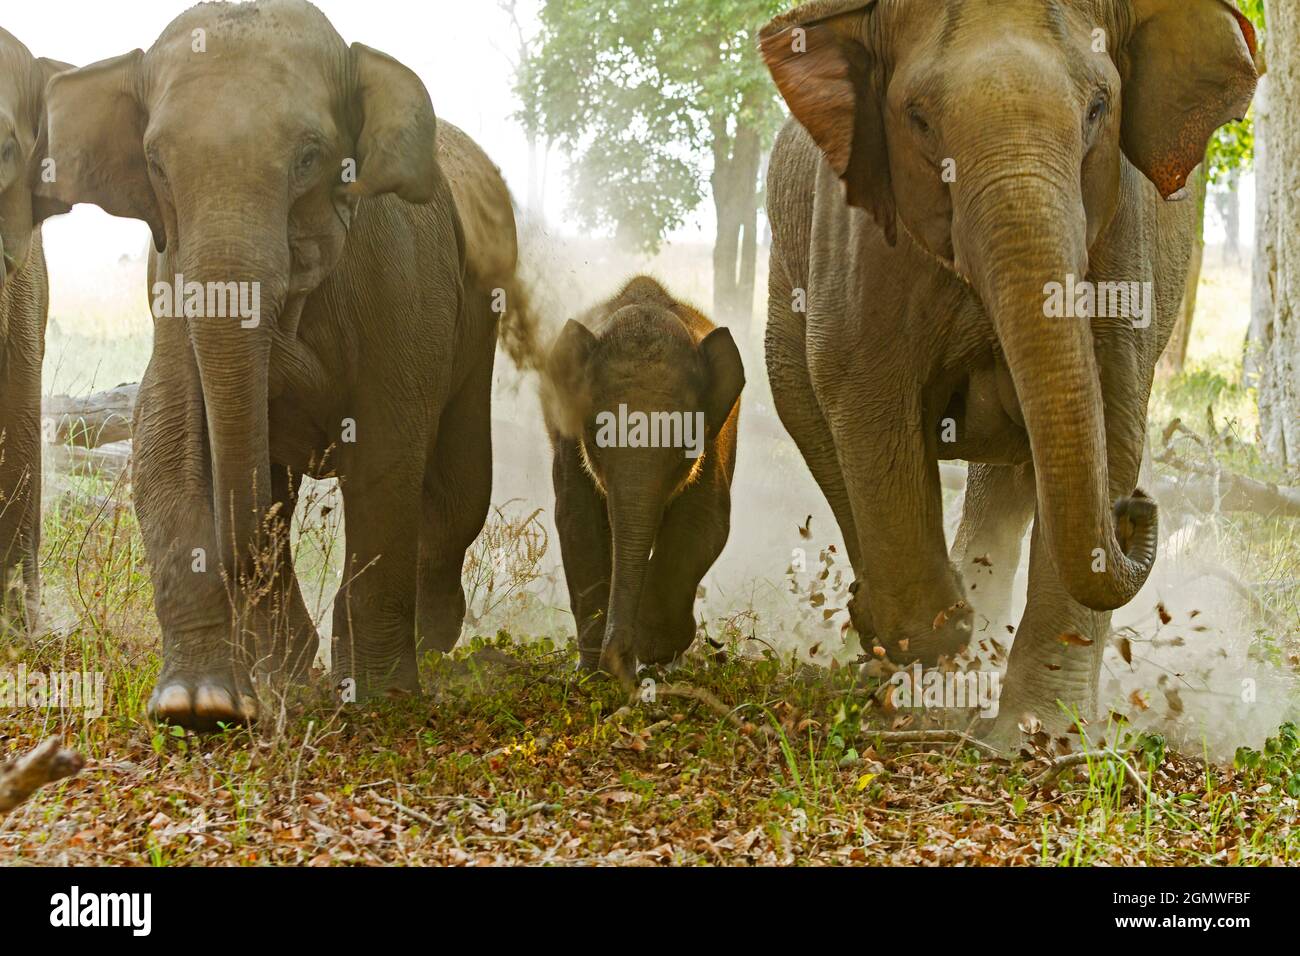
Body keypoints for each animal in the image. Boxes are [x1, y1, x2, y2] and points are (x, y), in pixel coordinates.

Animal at [39, 0, 522, 728]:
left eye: (309, 157)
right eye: (155, 162)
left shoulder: (399, 277)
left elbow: (387, 454)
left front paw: (378, 696)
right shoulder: (168, 281)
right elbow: (168, 438)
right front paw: (200, 705)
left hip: (479, 322)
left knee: (459, 487)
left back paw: (426, 646)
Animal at [543, 277, 748, 686]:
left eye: (685, 443)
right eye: (596, 437)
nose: (621, 666)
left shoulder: (714, 439)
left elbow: (704, 523)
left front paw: (655, 648)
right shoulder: (567, 439)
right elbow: (576, 520)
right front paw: (592, 671)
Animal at [759, 0, 1258, 749]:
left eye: (1098, 109)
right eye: (917, 118)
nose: (1136, 508)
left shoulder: (1125, 237)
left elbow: (1110, 415)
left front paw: (1037, 739)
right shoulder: (854, 238)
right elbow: (867, 400)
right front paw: (939, 659)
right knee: (822, 431)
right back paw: (892, 634)